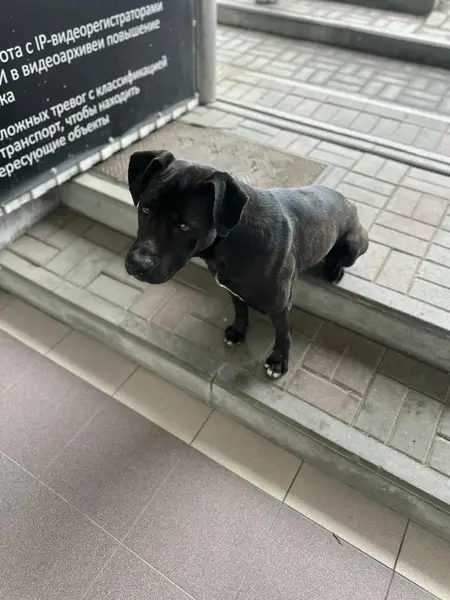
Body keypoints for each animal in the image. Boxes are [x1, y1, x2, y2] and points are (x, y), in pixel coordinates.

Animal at [125, 149, 369, 380]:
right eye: (145, 209)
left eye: (184, 227)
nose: (137, 264)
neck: (232, 239)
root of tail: (349, 202)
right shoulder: (232, 288)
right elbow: (240, 309)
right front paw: (237, 332)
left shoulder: (281, 306)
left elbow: (283, 333)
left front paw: (278, 361)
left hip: (352, 246)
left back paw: (334, 269)